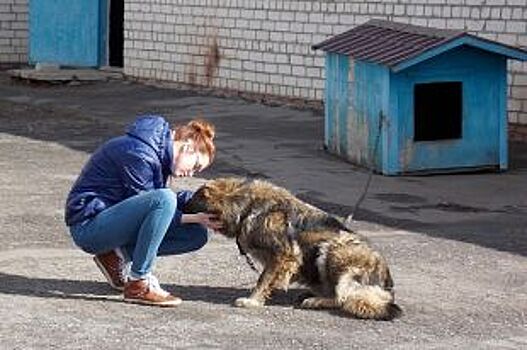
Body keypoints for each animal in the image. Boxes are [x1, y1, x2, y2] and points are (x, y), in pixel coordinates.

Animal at [184, 178, 402, 320]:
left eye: (193, 200)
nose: (181, 207)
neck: (247, 206)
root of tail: (386, 285)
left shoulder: (283, 255)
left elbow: (263, 280)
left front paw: (252, 301)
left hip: (333, 249)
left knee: (343, 297)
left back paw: (316, 301)